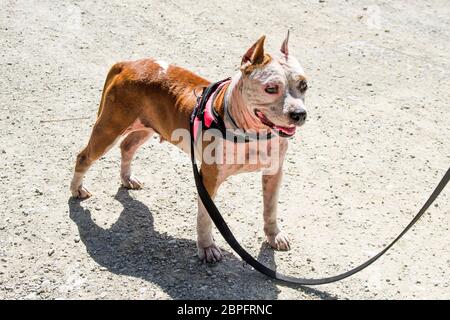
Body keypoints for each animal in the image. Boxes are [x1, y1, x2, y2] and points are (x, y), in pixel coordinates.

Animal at [70, 33, 308, 262]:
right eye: (271, 88)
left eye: (304, 85)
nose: (299, 114)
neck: (252, 134)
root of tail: (129, 63)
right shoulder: (208, 179)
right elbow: (206, 217)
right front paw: (207, 247)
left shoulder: (274, 173)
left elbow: (271, 209)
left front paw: (274, 235)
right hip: (109, 128)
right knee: (84, 157)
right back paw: (77, 189)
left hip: (148, 126)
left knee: (127, 146)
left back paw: (127, 178)